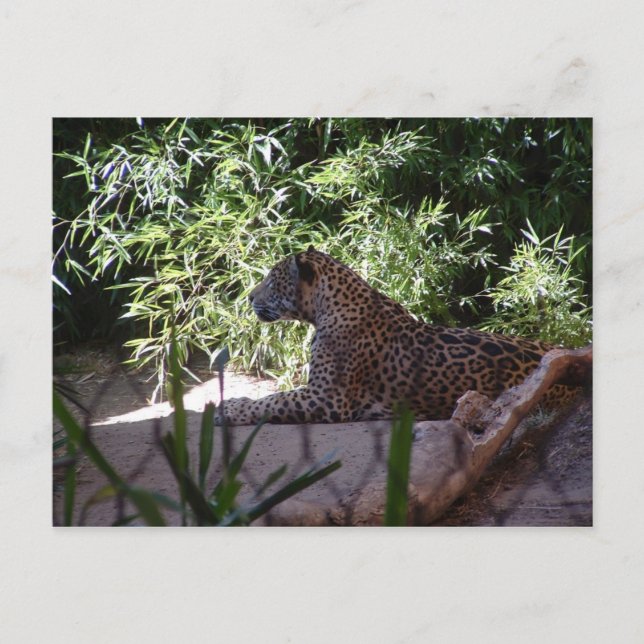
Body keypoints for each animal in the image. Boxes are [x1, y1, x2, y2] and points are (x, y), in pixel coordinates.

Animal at [217, 246, 577, 425]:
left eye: (272, 280)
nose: (249, 297)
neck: (326, 307)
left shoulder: (326, 398)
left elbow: (272, 400)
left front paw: (230, 409)